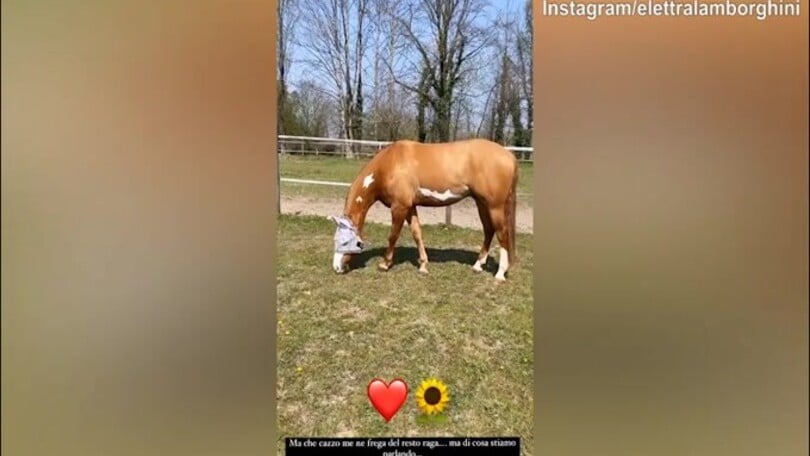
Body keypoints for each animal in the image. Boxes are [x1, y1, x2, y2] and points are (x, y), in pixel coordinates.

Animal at [329, 138, 519, 281]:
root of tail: (509, 155)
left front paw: (385, 264)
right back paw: (478, 266)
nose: (336, 267)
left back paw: (500, 273)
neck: (389, 165)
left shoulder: (399, 207)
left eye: (344, 242)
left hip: (494, 206)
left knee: (501, 233)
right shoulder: (410, 207)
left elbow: (393, 235)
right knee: (489, 231)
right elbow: (417, 233)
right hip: (482, 203)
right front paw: (423, 265)